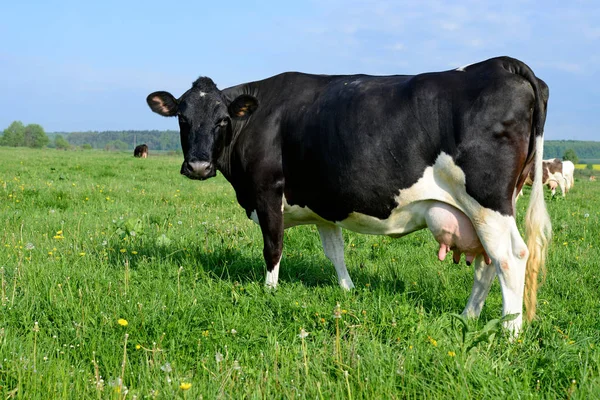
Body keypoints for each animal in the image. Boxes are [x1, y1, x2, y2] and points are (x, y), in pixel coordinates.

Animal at [148, 56, 552, 334]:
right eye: (183, 119)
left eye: (222, 121)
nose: (198, 166)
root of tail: (502, 63)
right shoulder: (324, 205)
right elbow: (335, 252)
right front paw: (347, 290)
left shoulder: (267, 192)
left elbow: (273, 246)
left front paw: (269, 291)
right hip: (486, 208)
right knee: (487, 261)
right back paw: (467, 317)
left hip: (487, 200)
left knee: (510, 257)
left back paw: (510, 331)